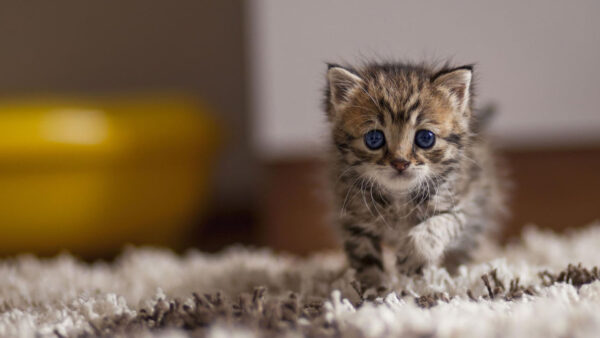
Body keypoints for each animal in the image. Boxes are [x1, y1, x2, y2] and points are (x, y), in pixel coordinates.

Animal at [324, 61, 506, 288]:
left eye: (425, 138)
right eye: (374, 139)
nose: (400, 163)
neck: (399, 198)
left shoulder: (458, 207)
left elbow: (436, 226)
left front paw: (413, 259)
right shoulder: (353, 218)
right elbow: (365, 260)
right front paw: (372, 291)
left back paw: (454, 276)